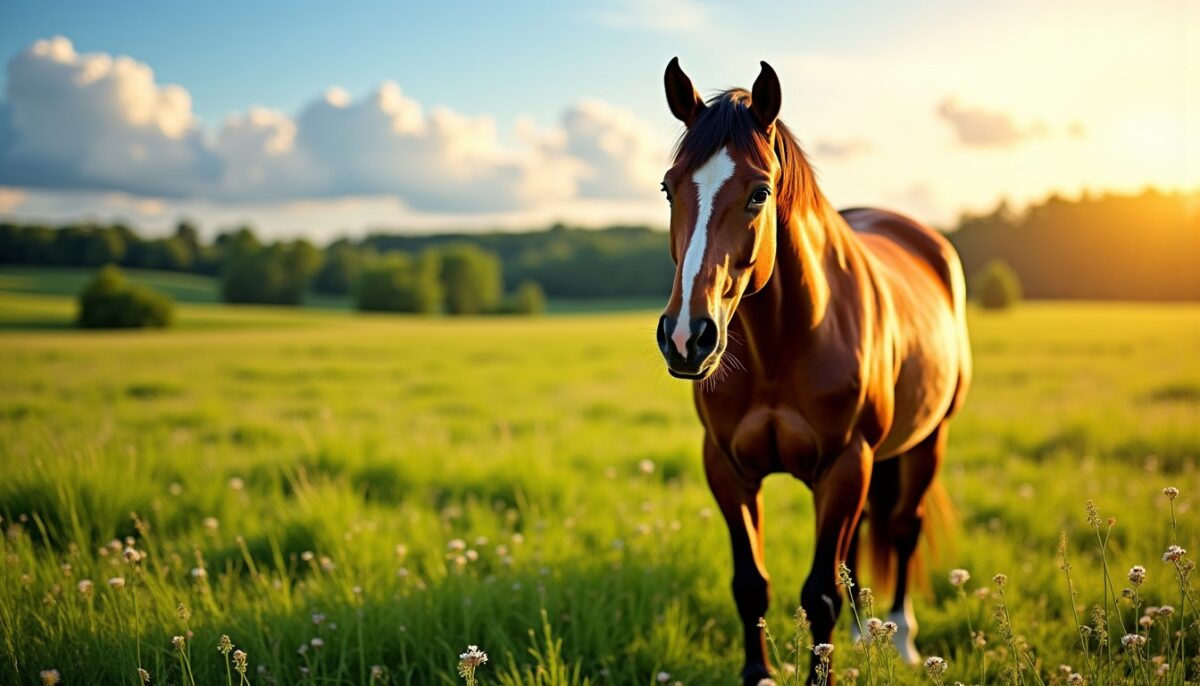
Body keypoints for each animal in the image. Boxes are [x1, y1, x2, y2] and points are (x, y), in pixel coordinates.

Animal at [654, 57, 971, 685]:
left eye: (759, 192)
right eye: (668, 187)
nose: (685, 337)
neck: (782, 344)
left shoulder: (845, 464)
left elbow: (819, 592)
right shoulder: (727, 468)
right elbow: (751, 584)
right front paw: (759, 674)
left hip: (928, 440)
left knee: (904, 527)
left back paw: (900, 637)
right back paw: (864, 632)